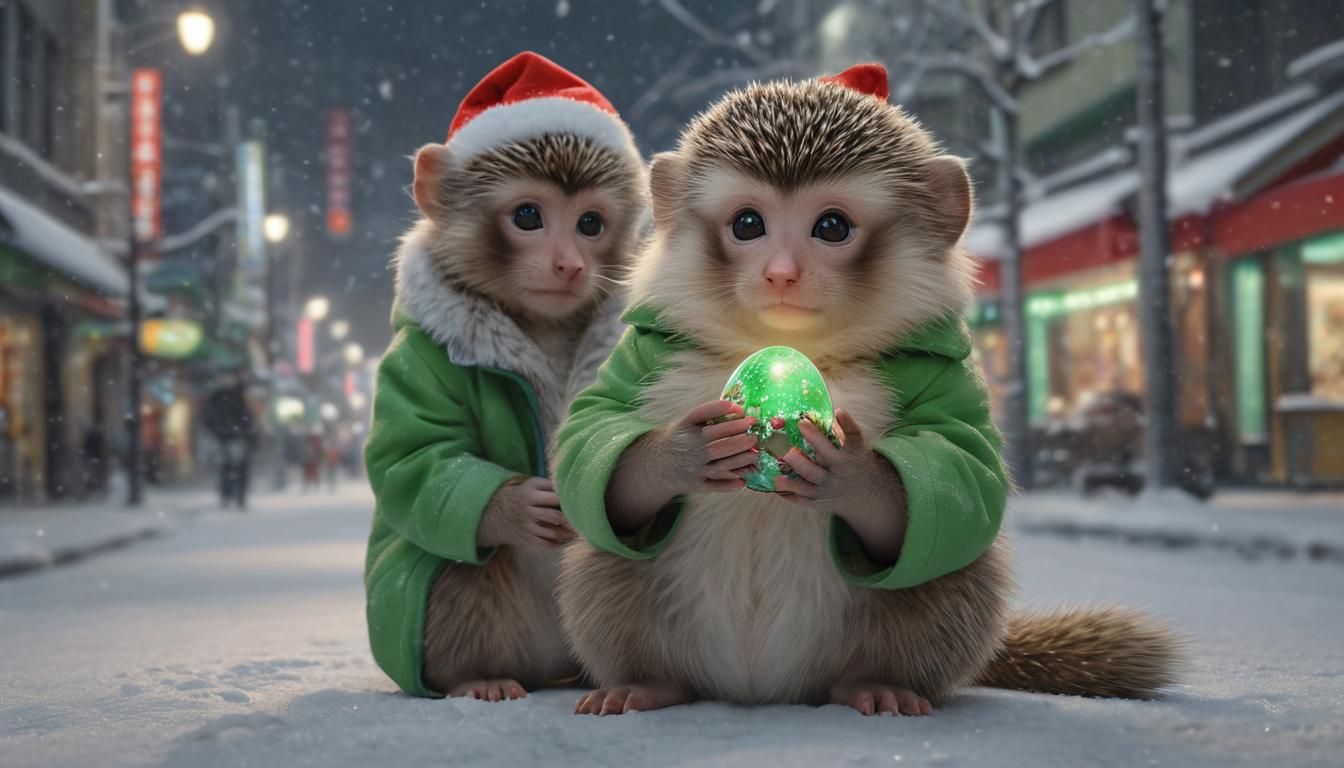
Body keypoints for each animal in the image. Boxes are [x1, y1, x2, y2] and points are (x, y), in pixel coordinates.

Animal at [362, 52, 647, 700]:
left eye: (590, 224)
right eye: (528, 216)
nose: (568, 264)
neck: (544, 326)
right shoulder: (415, 356)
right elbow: (413, 457)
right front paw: (514, 506)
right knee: (462, 570)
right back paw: (478, 677)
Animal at [551, 63, 1181, 716]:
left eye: (832, 226)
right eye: (748, 223)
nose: (781, 273)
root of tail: (760, 690)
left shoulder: (954, 378)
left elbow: (967, 466)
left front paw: (850, 474)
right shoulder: (640, 352)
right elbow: (590, 430)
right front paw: (685, 450)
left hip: (933, 612)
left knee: (949, 574)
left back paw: (880, 683)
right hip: (613, 594)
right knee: (599, 564)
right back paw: (641, 682)